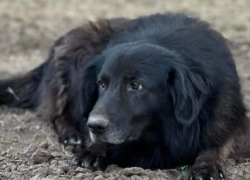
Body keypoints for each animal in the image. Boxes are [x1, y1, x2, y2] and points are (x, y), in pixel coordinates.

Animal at [0, 13, 250, 179]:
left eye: (136, 86)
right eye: (102, 84)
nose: (95, 126)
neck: (159, 132)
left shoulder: (230, 118)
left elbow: (219, 143)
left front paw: (206, 165)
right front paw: (93, 150)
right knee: (58, 113)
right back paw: (72, 135)